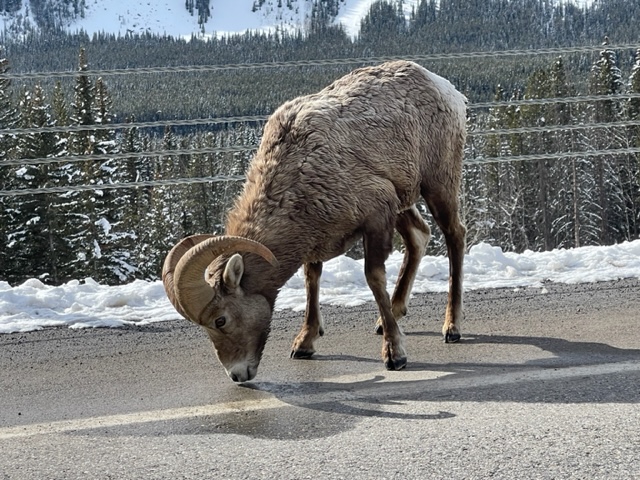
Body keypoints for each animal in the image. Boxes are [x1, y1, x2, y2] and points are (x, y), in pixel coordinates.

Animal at [162, 60, 468, 382]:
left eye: (220, 320)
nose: (237, 375)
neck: (298, 168)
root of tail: (445, 88)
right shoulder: (318, 238)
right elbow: (312, 279)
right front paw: (304, 344)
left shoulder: (376, 217)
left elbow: (373, 278)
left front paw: (394, 355)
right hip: (405, 203)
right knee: (418, 236)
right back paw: (389, 318)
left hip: (438, 184)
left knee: (454, 235)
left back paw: (451, 327)